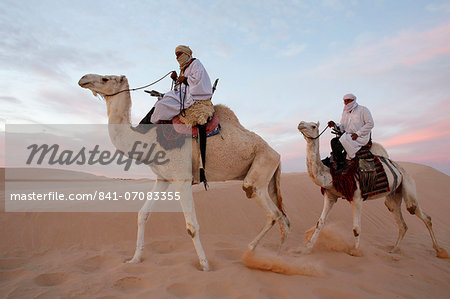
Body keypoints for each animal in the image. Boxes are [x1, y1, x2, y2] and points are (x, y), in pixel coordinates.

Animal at [77, 75, 290, 272]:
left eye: (105, 79)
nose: (83, 79)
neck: (149, 139)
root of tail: (277, 154)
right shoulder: (163, 178)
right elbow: (143, 214)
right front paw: (134, 259)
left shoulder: (182, 177)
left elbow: (191, 226)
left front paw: (205, 266)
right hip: (269, 178)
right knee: (284, 218)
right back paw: (280, 258)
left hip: (261, 169)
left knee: (273, 212)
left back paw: (257, 254)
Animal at [298, 120, 448, 258]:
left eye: (313, 126)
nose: (300, 124)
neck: (332, 172)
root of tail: (400, 169)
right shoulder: (330, 195)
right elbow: (320, 223)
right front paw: (307, 248)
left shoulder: (357, 198)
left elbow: (356, 228)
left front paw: (355, 251)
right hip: (393, 196)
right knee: (402, 223)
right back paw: (394, 250)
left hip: (408, 184)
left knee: (419, 213)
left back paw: (440, 251)